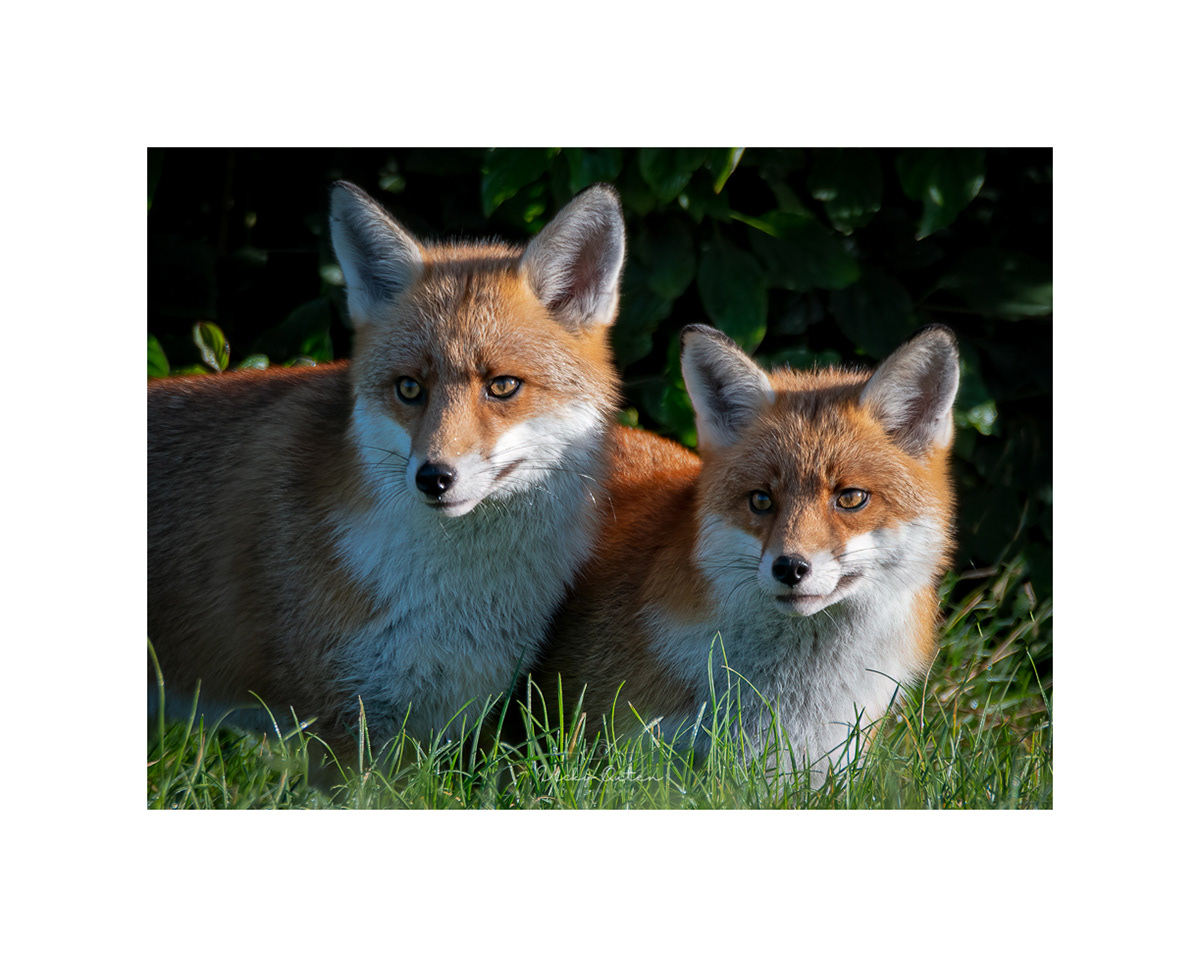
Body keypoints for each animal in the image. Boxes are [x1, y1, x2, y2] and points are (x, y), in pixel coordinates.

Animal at [148, 181, 626, 769]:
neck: (454, 602)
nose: (434, 477)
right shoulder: (342, 724)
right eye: (409, 388)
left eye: (503, 386)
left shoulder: (435, 721)